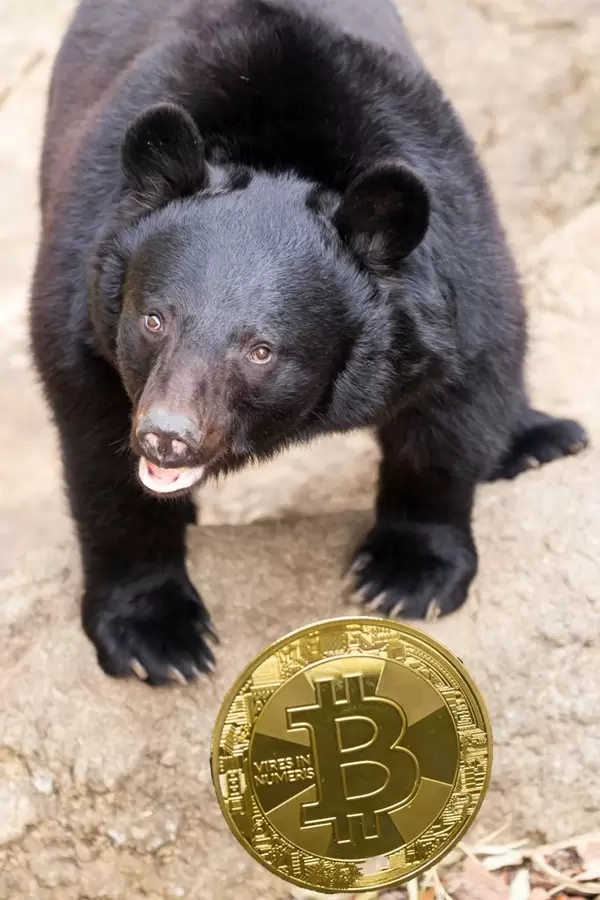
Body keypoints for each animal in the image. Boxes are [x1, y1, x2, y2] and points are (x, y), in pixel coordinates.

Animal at [30, 0, 588, 685]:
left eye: (261, 351)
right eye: (154, 321)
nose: (167, 436)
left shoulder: (457, 259)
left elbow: (458, 403)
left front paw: (406, 578)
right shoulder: (83, 295)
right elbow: (101, 460)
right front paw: (158, 641)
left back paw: (542, 438)